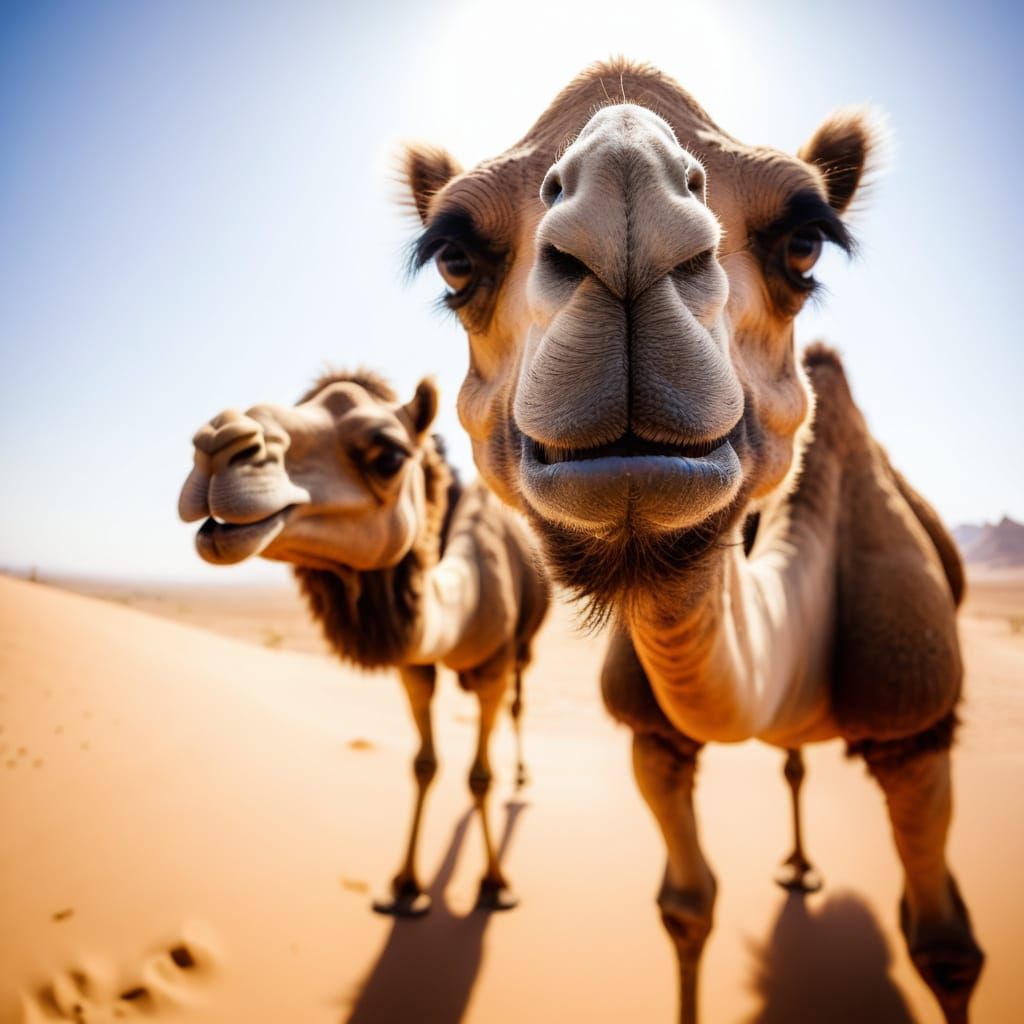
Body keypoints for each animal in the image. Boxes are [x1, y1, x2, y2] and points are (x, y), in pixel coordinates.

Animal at [178, 370, 550, 915]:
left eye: (389, 455)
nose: (216, 443)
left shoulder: (492, 667)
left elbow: (480, 776)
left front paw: (495, 885)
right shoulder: (414, 667)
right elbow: (423, 764)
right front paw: (404, 885)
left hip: (523, 650)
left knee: (519, 706)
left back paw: (522, 777)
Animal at [402, 59, 984, 1022]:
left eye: (804, 243)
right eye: (455, 257)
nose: (625, 213)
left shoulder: (919, 730)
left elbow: (945, 947)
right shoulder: (654, 738)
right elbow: (685, 905)